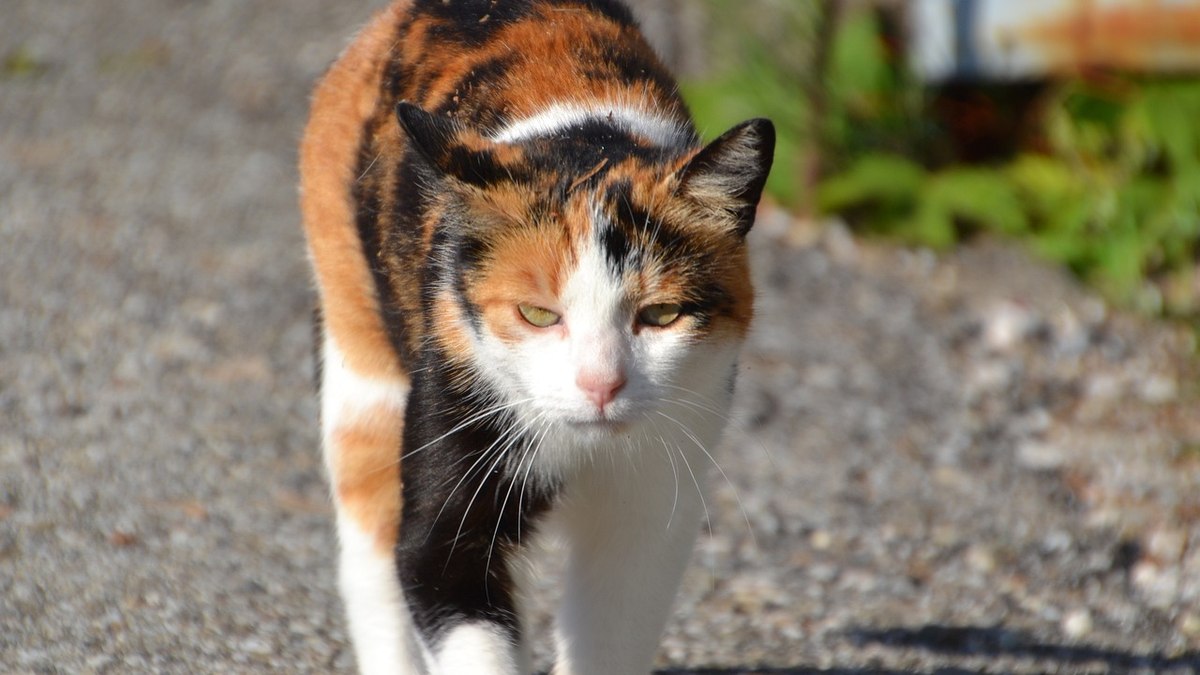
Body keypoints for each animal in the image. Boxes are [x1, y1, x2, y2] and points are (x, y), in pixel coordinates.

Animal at [295, 0, 772, 667]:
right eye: (538, 314)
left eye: (660, 316)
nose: (600, 384)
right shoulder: (452, 484)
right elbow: (433, 570)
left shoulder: (651, 512)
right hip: (358, 359)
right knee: (368, 553)